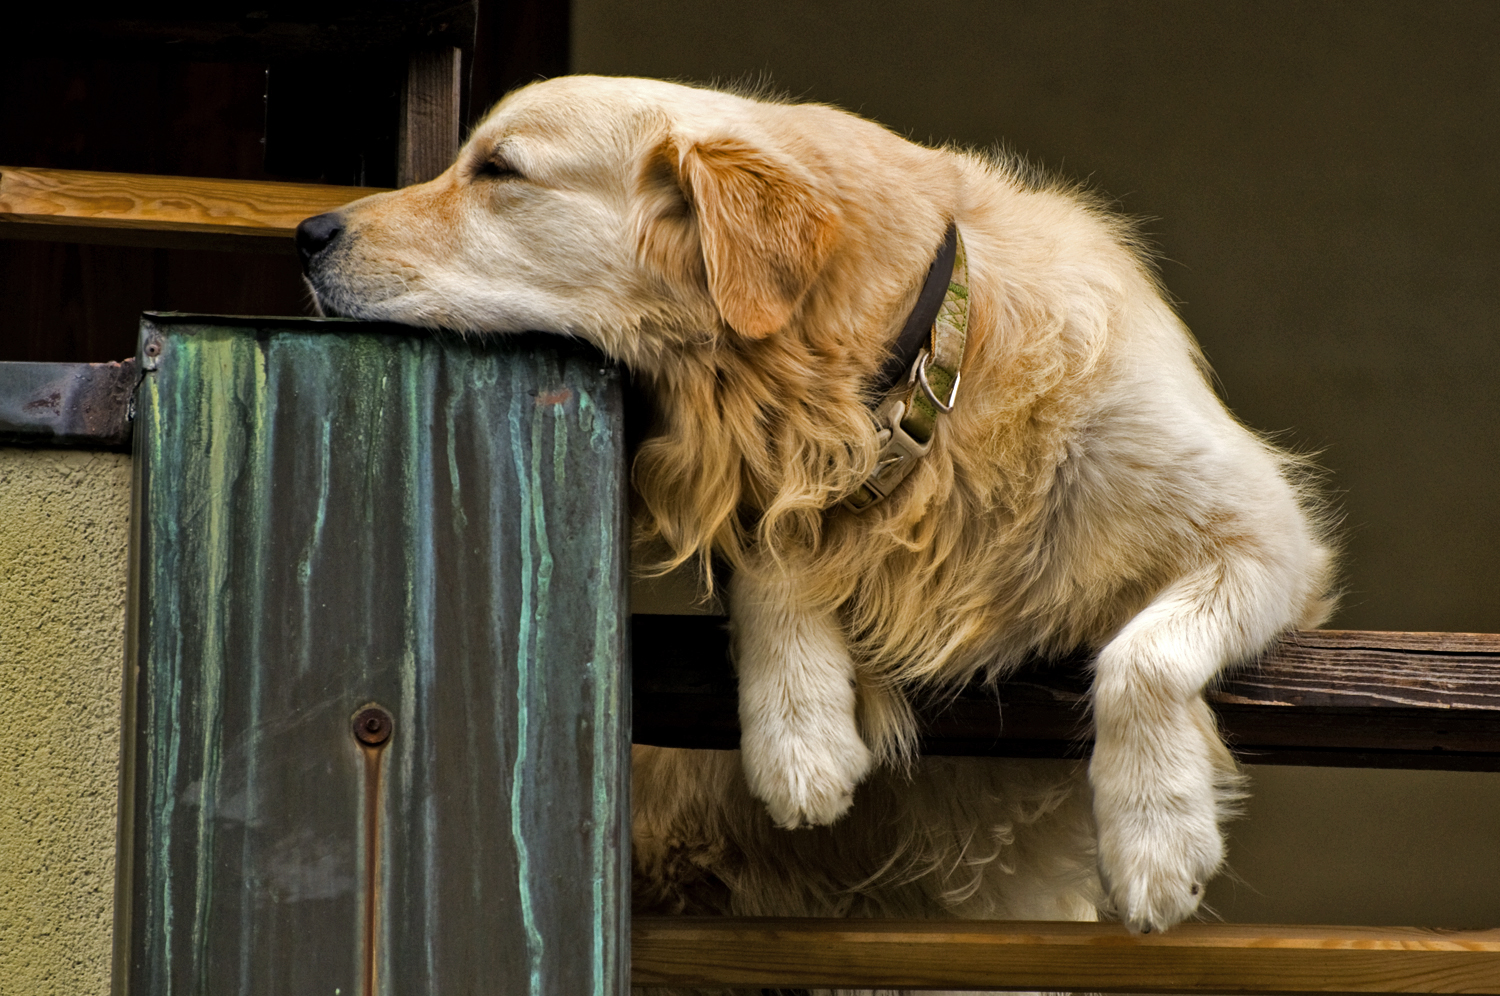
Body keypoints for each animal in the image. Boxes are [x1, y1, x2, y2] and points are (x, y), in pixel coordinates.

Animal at [295, 75, 1338, 948]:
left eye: (499, 171)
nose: (307, 233)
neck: (918, 388)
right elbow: (773, 554)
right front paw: (800, 733)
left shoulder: (1265, 533)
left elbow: (1142, 657)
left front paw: (1158, 842)